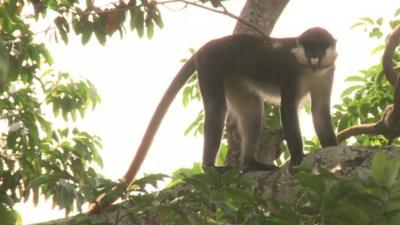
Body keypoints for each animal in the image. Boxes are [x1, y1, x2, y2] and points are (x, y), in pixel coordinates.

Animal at [86, 26, 338, 214]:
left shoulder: (328, 72)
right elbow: (287, 108)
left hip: (236, 79)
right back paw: (209, 166)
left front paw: (333, 147)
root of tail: (208, 45)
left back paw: (250, 163)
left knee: (252, 111)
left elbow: (320, 111)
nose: (314, 56)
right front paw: (297, 158)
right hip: (210, 65)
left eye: (320, 46)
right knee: (217, 110)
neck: (309, 69)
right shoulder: (290, 73)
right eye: (309, 46)